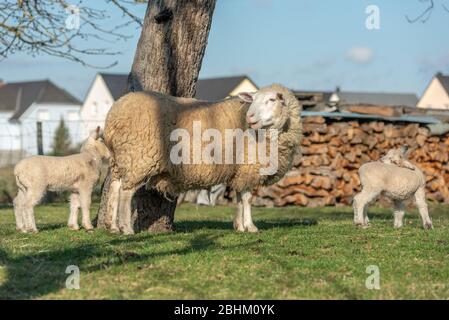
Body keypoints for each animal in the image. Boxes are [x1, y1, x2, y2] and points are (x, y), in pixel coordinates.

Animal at [102, 85, 300, 235]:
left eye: (272, 100)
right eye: (254, 100)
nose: (250, 117)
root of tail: (113, 115)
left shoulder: (239, 170)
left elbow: (238, 198)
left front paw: (239, 226)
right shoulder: (249, 167)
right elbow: (247, 198)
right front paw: (250, 226)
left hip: (121, 159)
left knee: (115, 187)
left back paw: (112, 226)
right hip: (138, 159)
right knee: (126, 192)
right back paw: (126, 228)